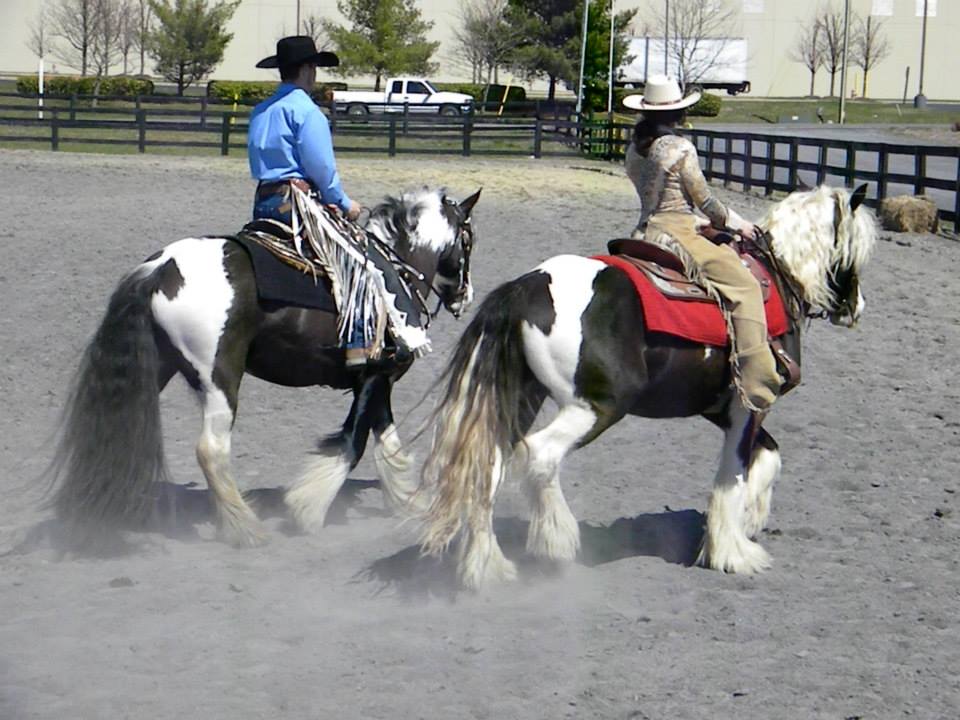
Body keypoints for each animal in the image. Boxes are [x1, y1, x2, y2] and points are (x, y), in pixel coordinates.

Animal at [49, 187, 481, 549]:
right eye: (468, 240)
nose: (466, 296)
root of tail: (162, 268)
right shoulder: (375, 374)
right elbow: (354, 442)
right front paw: (307, 508)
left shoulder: (375, 381)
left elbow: (387, 442)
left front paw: (409, 503)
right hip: (220, 380)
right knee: (211, 451)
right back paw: (244, 527)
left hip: (157, 367)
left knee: (114, 426)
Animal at [418, 184, 877, 590]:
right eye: (855, 249)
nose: (856, 308)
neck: (777, 274)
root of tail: (526, 287)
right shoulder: (750, 404)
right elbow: (735, 472)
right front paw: (734, 551)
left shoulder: (722, 409)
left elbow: (766, 456)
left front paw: (748, 521)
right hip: (597, 408)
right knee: (539, 457)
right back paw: (557, 542)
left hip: (522, 397)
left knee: (489, 465)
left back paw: (487, 567)